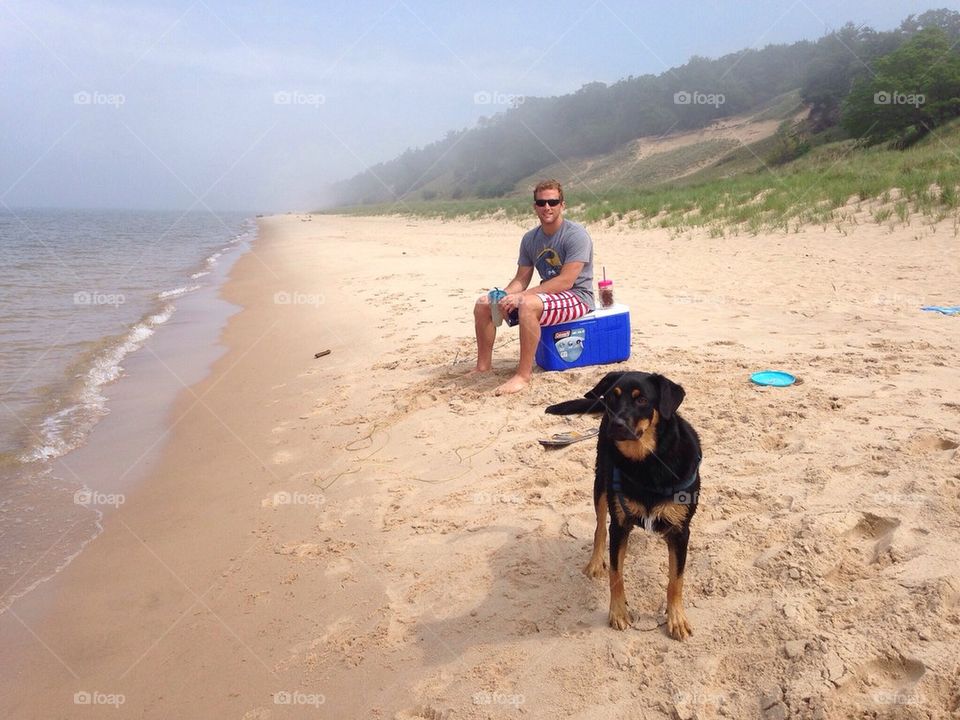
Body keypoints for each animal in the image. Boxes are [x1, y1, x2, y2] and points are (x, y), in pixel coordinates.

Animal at [548, 374, 696, 640]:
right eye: (611, 397)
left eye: (642, 399)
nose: (615, 424)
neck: (646, 463)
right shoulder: (619, 525)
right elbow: (616, 573)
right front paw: (617, 612)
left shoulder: (681, 531)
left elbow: (676, 580)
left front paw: (676, 619)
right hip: (601, 482)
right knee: (599, 528)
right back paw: (595, 562)